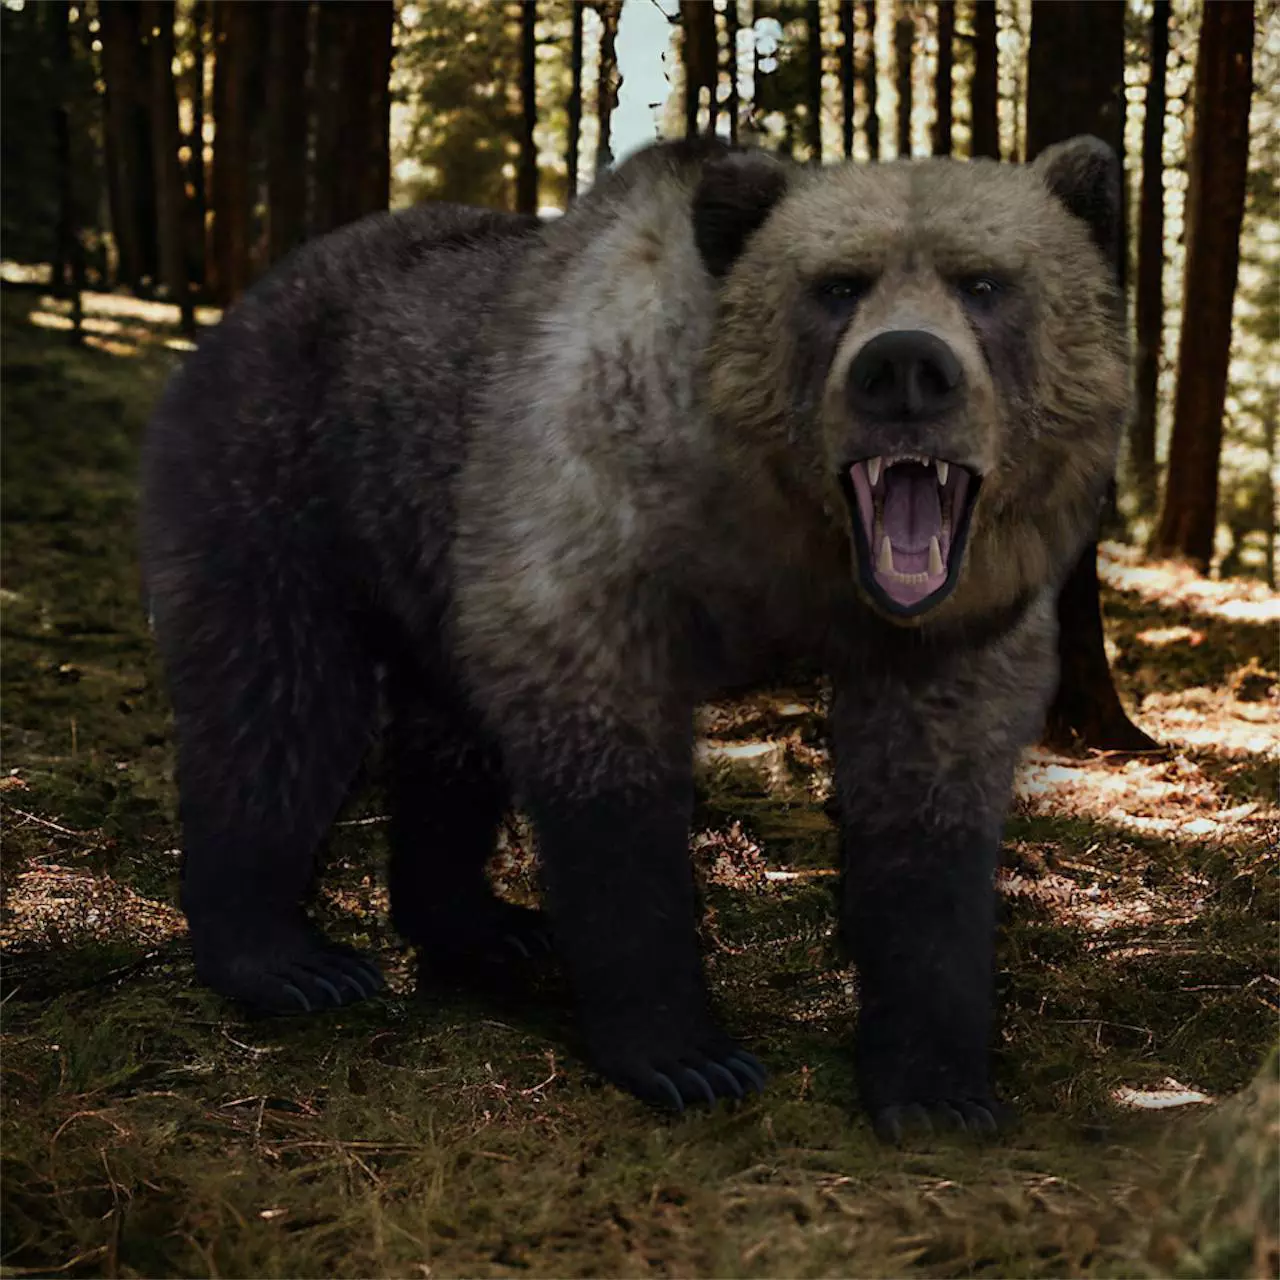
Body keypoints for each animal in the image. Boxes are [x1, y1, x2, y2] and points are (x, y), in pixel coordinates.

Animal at [141, 135, 1128, 1139]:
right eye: (837, 286)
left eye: (985, 282)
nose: (904, 370)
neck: (781, 533)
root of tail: (257, 292)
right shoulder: (592, 516)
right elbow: (611, 784)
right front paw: (689, 1056)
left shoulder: (941, 641)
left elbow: (928, 804)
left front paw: (939, 1089)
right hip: (285, 475)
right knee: (278, 704)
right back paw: (287, 959)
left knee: (444, 738)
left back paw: (483, 924)